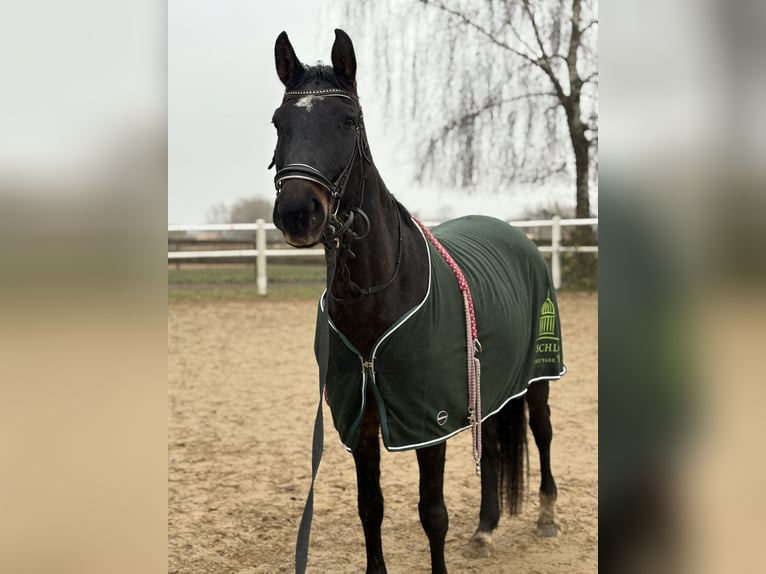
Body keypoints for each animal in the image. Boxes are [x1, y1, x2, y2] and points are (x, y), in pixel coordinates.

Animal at [269, 29, 565, 574]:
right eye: (280, 122)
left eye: (349, 121)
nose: (298, 213)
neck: (378, 299)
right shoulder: (360, 422)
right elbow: (370, 507)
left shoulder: (431, 423)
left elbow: (433, 514)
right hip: (487, 385)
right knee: (493, 447)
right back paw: (486, 529)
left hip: (538, 375)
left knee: (543, 430)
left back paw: (547, 516)